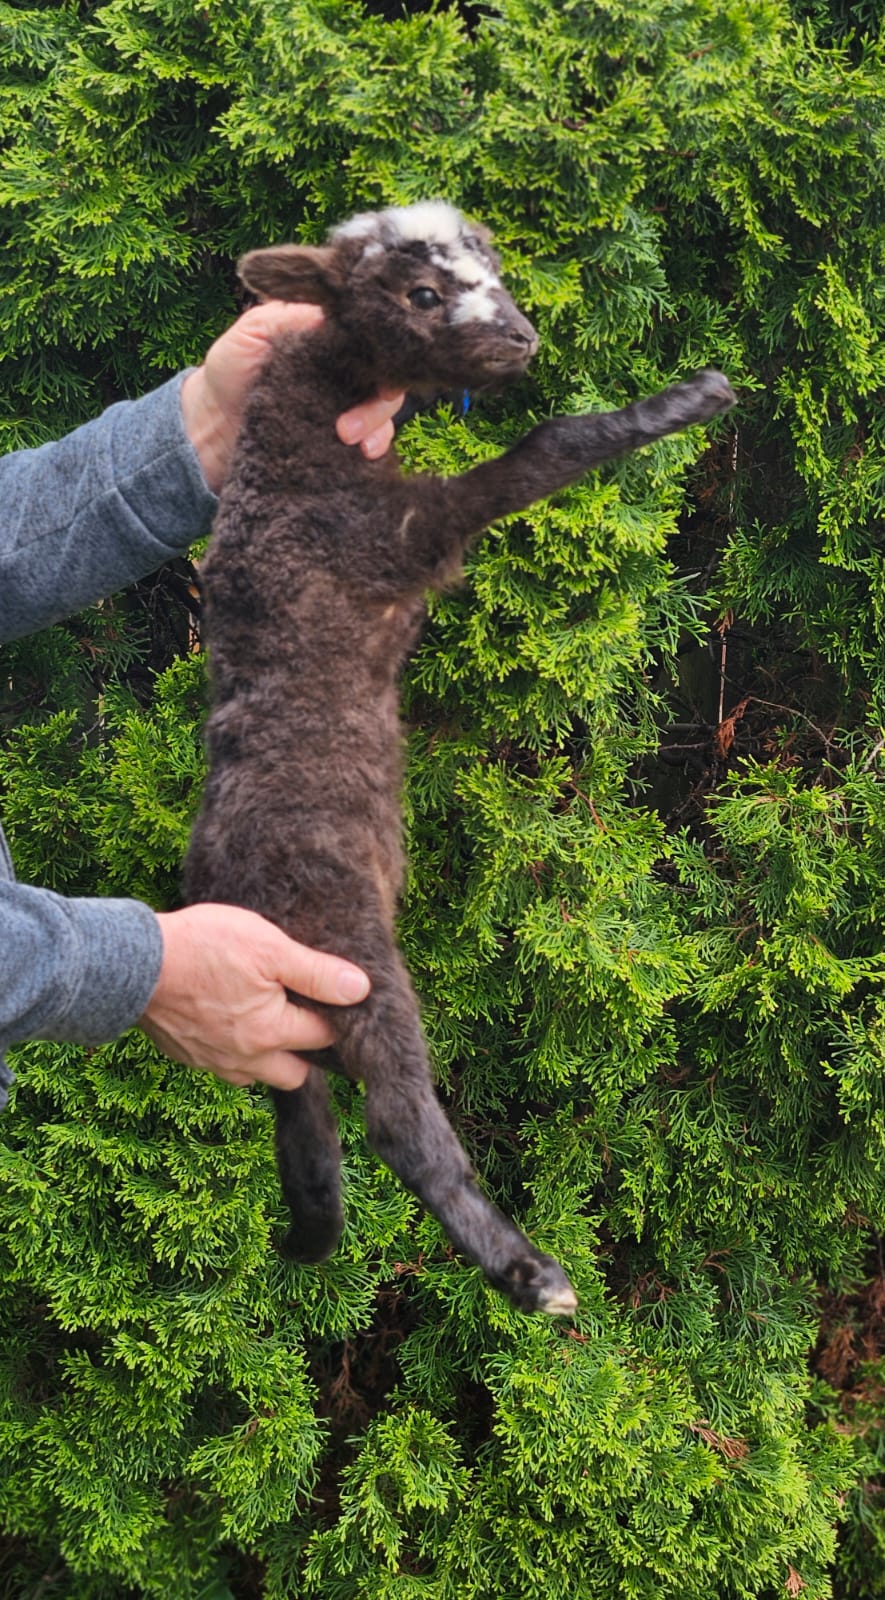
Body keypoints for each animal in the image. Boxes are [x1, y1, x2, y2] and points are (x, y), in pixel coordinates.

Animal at [184, 201, 735, 1316]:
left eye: (494, 266)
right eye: (422, 293)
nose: (522, 341)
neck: (316, 410)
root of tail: (222, 889)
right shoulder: (402, 530)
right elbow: (540, 449)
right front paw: (688, 399)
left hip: (284, 1019)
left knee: (303, 1124)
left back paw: (314, 1236)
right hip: (348, 958)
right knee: (396, 1119)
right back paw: (529, 1273)